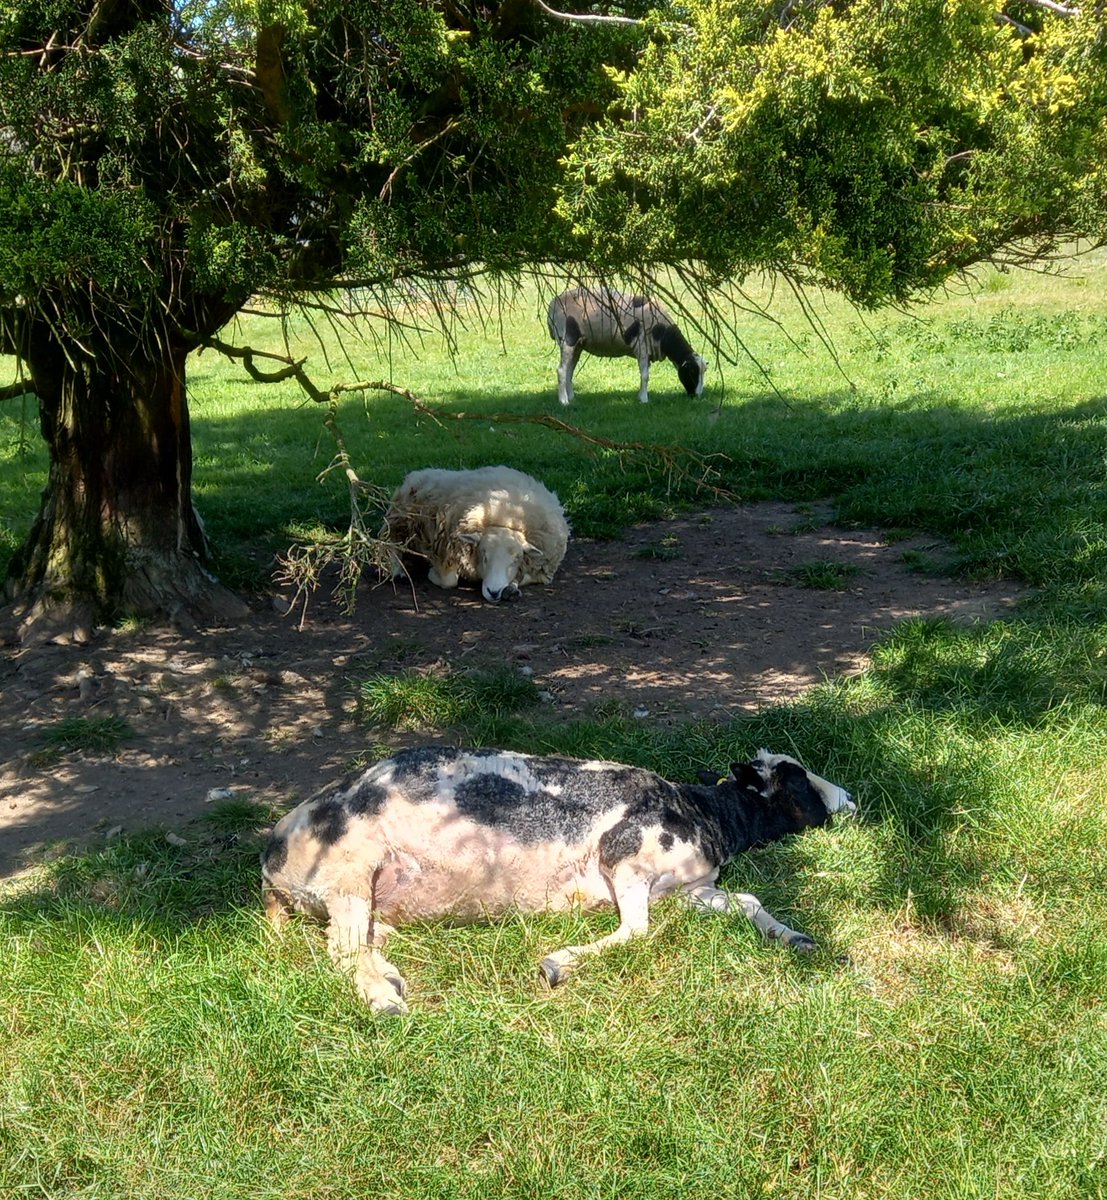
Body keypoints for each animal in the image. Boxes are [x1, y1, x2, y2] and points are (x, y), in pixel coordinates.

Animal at [262, 739, 850, 1012]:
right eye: (799, 779)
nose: (849, 799)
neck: (709, 815)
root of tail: (272, 854)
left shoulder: (690, 889)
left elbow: (748, 901)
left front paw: (795, 937)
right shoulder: (623, 857)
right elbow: (637, 931)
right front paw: (559, 963)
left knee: (363, 941)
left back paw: (389, 976)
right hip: (347, 870)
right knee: (343, 949)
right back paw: (383, 999)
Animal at [381, 463, 569, 604]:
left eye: (517, 559)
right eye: (484, 555)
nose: (494, 592)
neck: (508, 517)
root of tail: (419, 472)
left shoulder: (542, 569)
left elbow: (524, 576)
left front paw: (511, 589)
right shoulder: (447, 550)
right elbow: (449, 581)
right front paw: (433, 573)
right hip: (401, 519)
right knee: (391, 541)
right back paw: (397, 571)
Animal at [545, 284, 705, 403]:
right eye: (692, 372)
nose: (697, 396)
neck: (662, 333)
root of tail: (552, 305)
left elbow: (644, 375)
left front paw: (641, 396)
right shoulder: (641, 346)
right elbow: (645, 376)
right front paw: (644, 399)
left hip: (578, 344)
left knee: (569, 371)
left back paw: (571, 398)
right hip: (568, 339)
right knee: (561, 371)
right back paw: (564, 401)